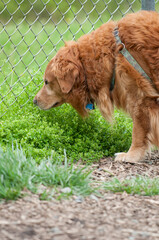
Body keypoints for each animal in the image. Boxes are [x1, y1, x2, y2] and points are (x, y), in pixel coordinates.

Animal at [33, 10, 159, 162]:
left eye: (46, 82)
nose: (34, 101)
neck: (112, 53)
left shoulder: (141, 99)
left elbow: (138, 132)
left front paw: (131, 155)